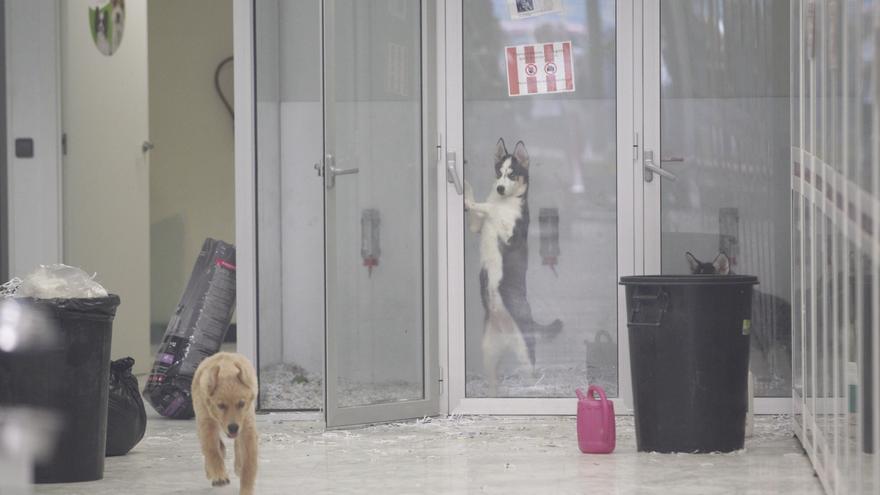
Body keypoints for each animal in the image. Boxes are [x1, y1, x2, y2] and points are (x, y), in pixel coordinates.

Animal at [192, 352, 258, 495]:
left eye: (241, 404)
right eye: (221, 406)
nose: (233, 428)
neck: (226, 369)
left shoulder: (247, 426)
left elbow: (249, 464)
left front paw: (246, 489)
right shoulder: (206, 423)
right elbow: (212, 450)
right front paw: (219, 475)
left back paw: (237, 465)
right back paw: (210, 471)